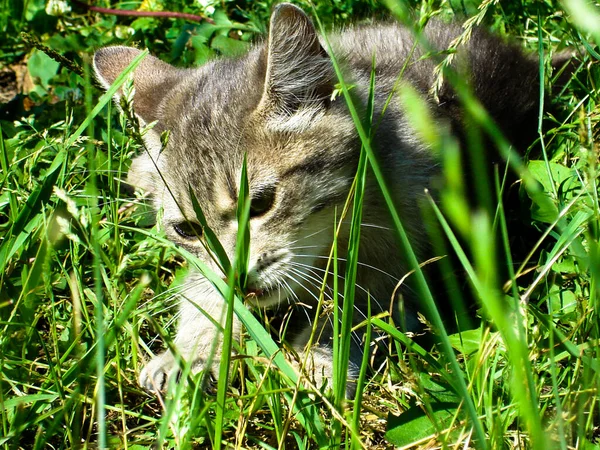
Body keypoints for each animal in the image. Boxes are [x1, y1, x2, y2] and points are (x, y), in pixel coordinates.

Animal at [95, 3, 544, 398]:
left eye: (261, 203)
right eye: (187, 230)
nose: (238, 277)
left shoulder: (407, 261)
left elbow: (358, 306)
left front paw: (322, 358)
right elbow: (203, 287)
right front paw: (188, 353)